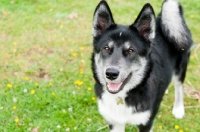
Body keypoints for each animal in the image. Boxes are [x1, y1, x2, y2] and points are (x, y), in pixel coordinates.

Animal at [91, 0, 193, 131]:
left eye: (131, 51)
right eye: (106, 48)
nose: (111, 74)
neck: (122, 96)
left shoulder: (146, 123)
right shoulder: (114, 122)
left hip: (181, 67)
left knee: (179, 86)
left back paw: (179, 109)